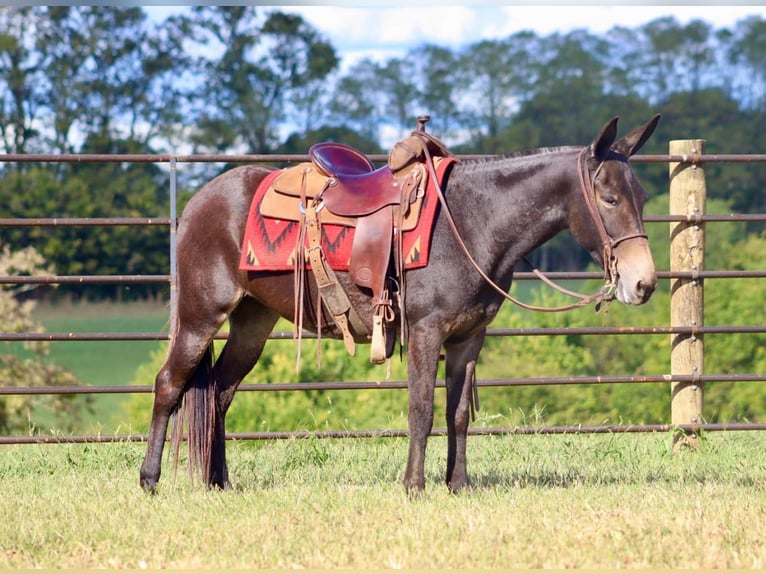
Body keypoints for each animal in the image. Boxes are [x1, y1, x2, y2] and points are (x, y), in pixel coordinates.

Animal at [140, 114, 660, 495]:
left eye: (640, 196)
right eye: (609, 198)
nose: (644, 284)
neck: (472, 222)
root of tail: (199, 201)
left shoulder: (469, 338)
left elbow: (457, 413)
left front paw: (458, 484)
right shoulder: (427, 331)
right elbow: (421, 410)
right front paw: (414, 486)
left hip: (253, 320)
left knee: (219, 393)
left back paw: (219, 482)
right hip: (201, 315)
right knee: (169, 385)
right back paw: (149, 480)